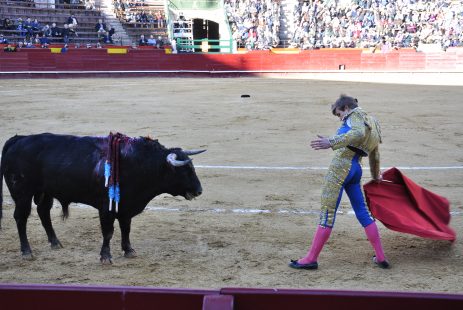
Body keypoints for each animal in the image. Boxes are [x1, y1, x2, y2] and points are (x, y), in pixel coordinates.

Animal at [0, 132, 205, 262]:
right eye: (184, 170)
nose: (199, 191)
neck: (138, 163)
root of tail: (18, 139)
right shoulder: (106, 207)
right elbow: (108, 231)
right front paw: (106, 256)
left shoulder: (126, 207)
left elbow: (126, 229)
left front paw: (129, 250)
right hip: (22, 193)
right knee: (21, 218)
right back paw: (27, 252)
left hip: (45, 192)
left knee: (43, 212)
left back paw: (55, 243)